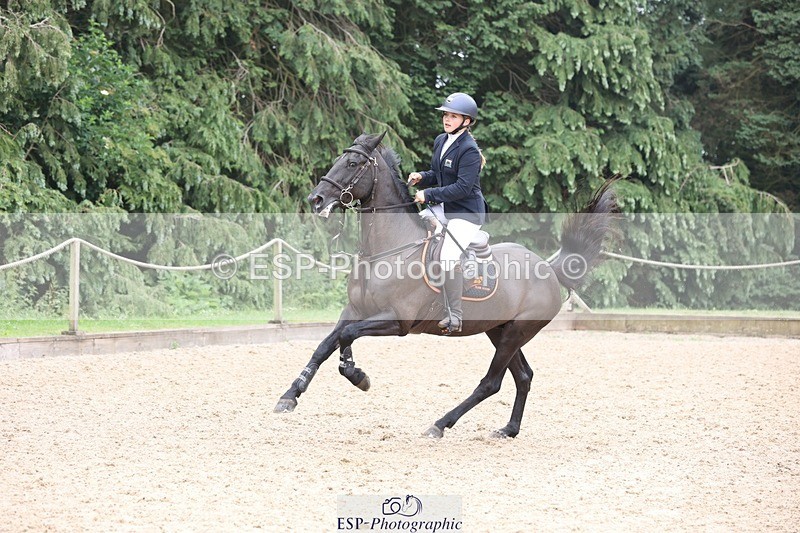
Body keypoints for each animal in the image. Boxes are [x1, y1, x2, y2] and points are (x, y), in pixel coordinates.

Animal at [274, 131, 618, 438]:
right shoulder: (355, 310)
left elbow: (346, 337)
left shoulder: (397, 321)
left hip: (517, 332)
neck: (387, 251)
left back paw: (439, 425)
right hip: (500, 330)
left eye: (353, 162)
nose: (316, 199)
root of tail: (547, 268)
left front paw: (357, 375)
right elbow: (324, 345)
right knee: (523, 376)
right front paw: (290, 396)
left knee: (491, 383)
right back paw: (508, 430)